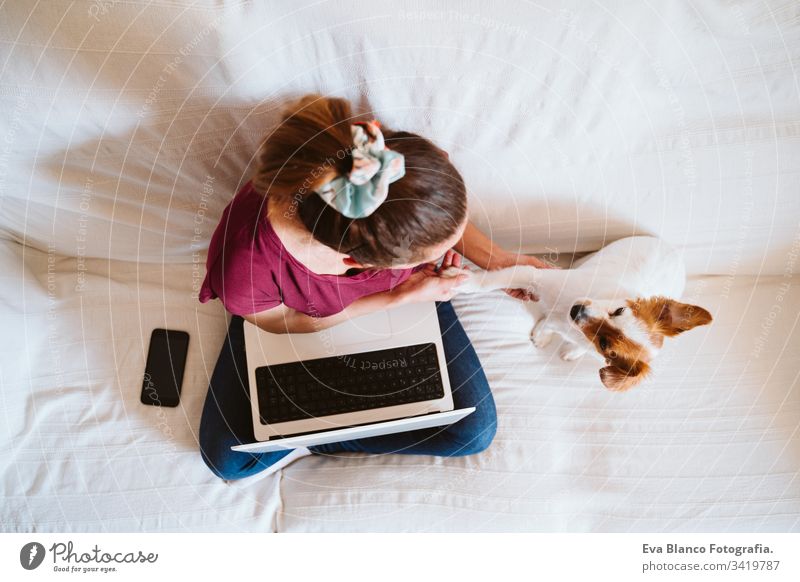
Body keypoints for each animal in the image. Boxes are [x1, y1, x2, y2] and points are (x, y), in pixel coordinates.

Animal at [444, 236, 712, 392]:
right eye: (619, 310)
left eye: (604, 345)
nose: (578, 310)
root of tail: (674, 250)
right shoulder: (536, 275)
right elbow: (494, 280)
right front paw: (461, 281)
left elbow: (560, 332)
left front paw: (567, 348)